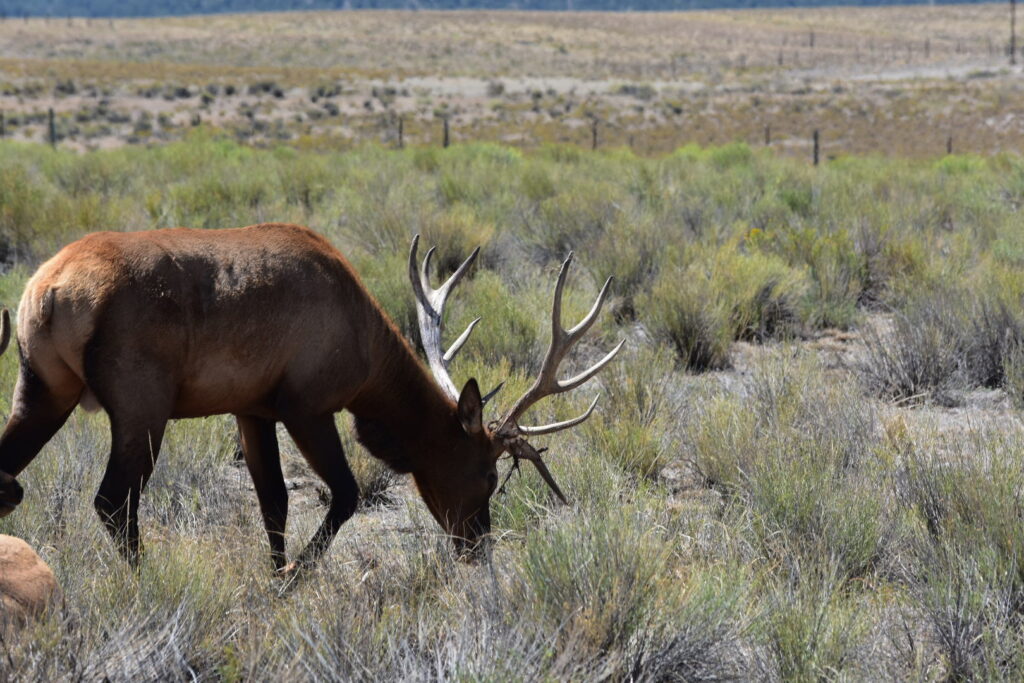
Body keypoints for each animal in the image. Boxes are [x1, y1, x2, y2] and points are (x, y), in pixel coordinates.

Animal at [0, 224, 614, 573]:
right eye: (486, 474)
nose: (479, 547)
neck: (367, 357)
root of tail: (49, 291)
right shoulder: (307, 403)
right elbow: (343, 495)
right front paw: (295, 576)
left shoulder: (251, 407)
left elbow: (274, 502)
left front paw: (275, 577)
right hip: (140, 405)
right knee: (112, 502)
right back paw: (147, 583)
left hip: (41, 390)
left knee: (12, 479)